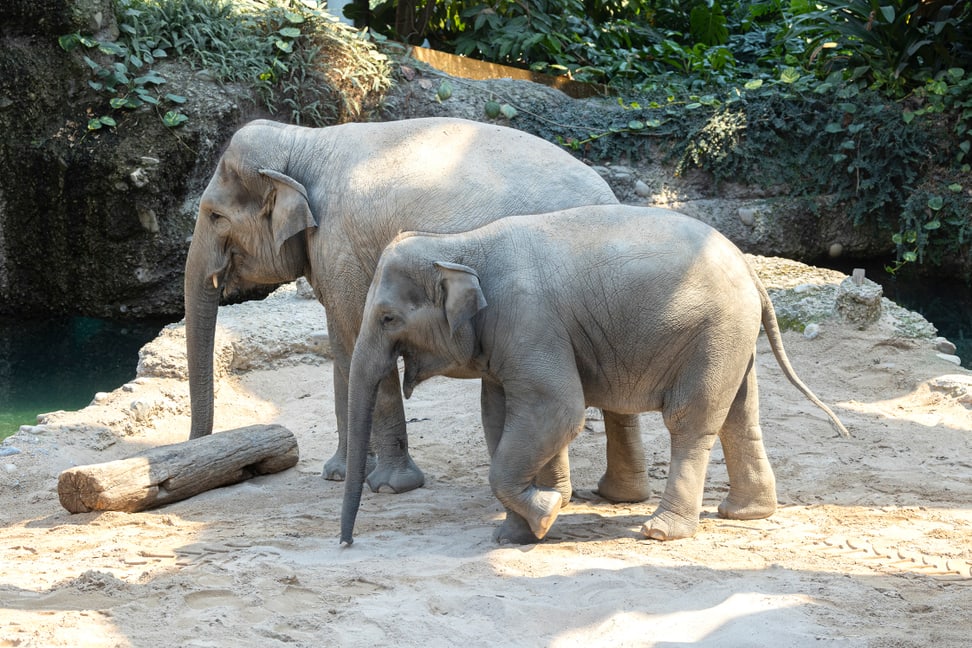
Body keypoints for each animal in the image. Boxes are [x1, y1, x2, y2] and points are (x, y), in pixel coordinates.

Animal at [186, 116, 620, 494]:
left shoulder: (340, 244)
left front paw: (389, 486)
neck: (303, 141)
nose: (197, 448)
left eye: (216, 216)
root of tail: (610, 196)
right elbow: (343, 347)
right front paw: (340, 474)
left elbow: (357, 341)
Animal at [344, 205, 852, 544]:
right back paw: (746, 514)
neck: (459, 242)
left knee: (690, 421)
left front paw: (546, 515)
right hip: (733, 337)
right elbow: (501, 416)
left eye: (387, 318)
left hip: (714, 333)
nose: (346, 542)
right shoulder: (507, 339)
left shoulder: (530, 321)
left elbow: (557, 409)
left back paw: (661, 532)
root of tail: (752, 270)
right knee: (740, 416)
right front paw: (520, 533)